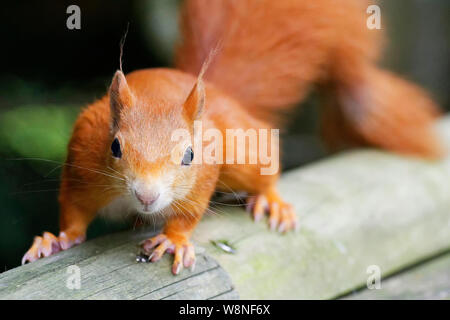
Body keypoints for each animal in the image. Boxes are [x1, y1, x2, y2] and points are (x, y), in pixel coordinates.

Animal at [22, 0, 442, 276]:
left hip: (246, 154)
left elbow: (189, 213)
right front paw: (55, 240)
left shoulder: (202, 178)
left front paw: (174, 239)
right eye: (114, 147)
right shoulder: (82, 163)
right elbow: (74, 211)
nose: (147, 195)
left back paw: (272, 202)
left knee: (263, 174)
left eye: (189, 155)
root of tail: (218, 93)